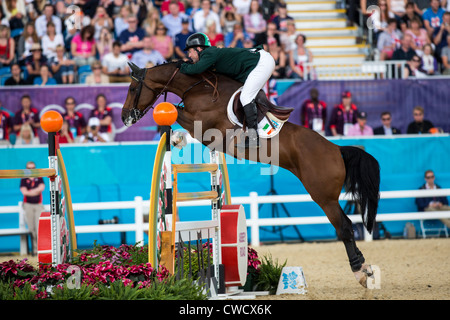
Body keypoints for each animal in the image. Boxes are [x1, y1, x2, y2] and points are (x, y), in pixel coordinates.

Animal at [121, 60, 382, 288]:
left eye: (133, 88)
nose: (125, 117)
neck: (198, 87)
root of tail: (337, 149)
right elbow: (177, 112)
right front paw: (175, 136)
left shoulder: (204, 125)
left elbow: (175, 111)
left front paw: (176, 138)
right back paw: (364, 269)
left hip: (323, 196)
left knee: (345, 226)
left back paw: (360, 271)